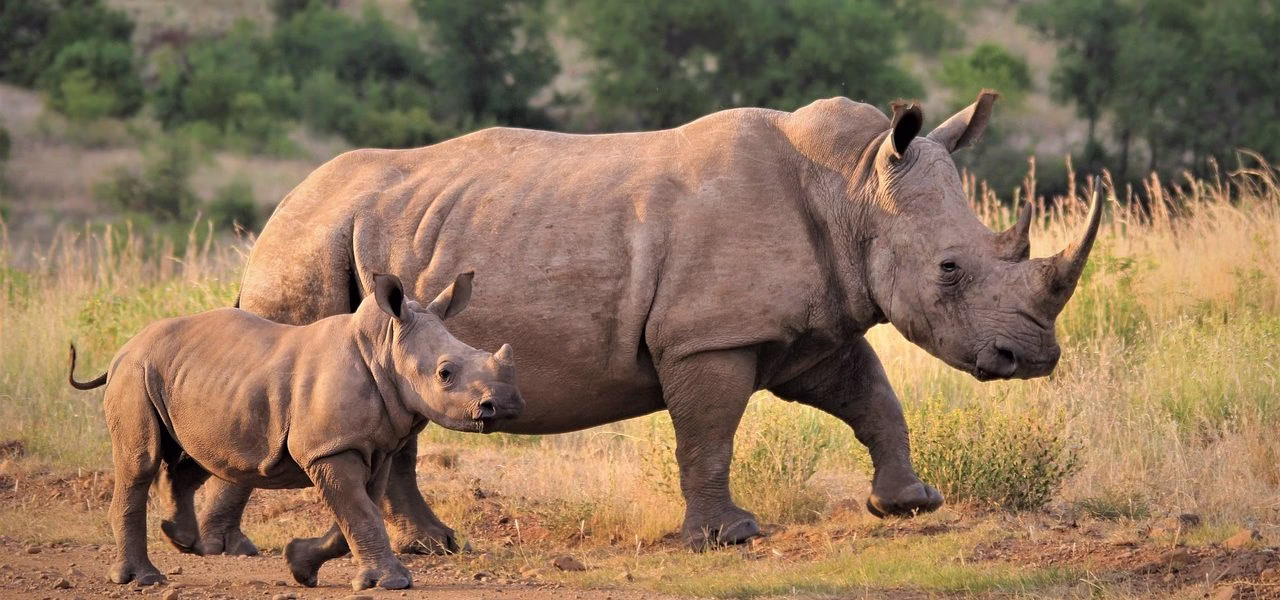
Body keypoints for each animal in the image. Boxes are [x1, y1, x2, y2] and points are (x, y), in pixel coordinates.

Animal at [69, 273, 524, 590]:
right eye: (445, 374)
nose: (506, 405)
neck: (385, 347)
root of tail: (123, 349)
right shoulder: (329, 449)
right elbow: (360, 513)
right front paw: (394, 582)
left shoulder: (372, 447)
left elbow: (358, 513)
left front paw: (299, 565)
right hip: (135, 373)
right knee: (140, 463)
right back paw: (145, 579)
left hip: (184, 378)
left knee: (196, 454)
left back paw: (182, 540)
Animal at [191, 91, 1101, 553]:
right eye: (949, 270)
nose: (1033, 356)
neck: (852, 187)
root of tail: (281, 207)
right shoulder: (709, 336)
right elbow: (709, 434)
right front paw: (727, 539)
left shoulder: (813, 328)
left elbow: (874, 398)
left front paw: (909, 504)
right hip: (309, 247)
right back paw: (226, 550)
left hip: (369, 244)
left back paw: (433, 547)